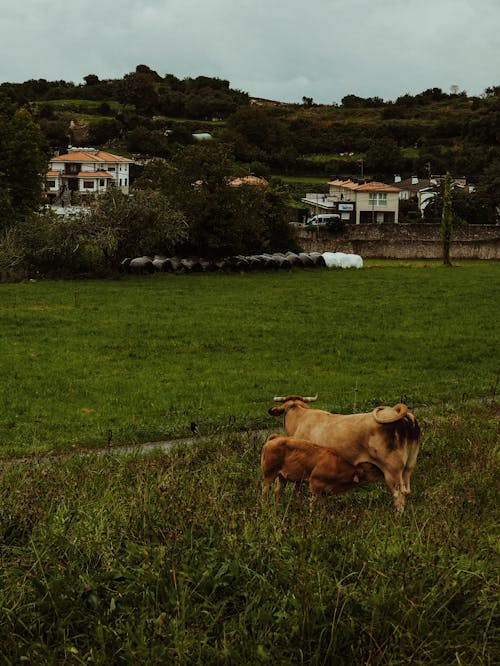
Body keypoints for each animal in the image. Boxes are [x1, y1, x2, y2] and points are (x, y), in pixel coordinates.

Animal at [268, 394, 420, 512]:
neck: (299, 419)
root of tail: (397, 411)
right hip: (409, 466)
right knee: (406, 491)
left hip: (392, 470)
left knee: (398, 494)